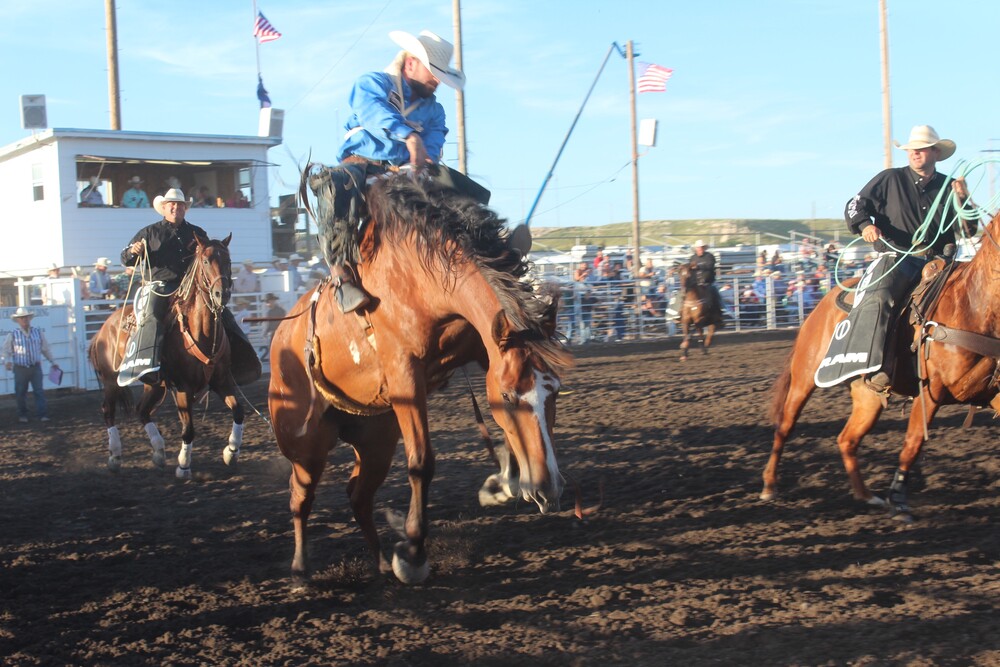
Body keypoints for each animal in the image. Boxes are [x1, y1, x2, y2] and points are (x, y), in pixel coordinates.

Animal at [89, 232, 247, 478]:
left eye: (228, 261)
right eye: (205, 261)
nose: (222, 294)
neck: (201, 331)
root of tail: (103, 329)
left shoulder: (221, 381)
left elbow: (239, 411)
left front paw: (231, 452)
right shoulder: (183, 388)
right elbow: (188, 429)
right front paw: (183, 465)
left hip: (155, 385)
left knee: (142, 410)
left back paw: (159, 452)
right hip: (111, 380)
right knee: (108, 411)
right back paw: (115, 456)